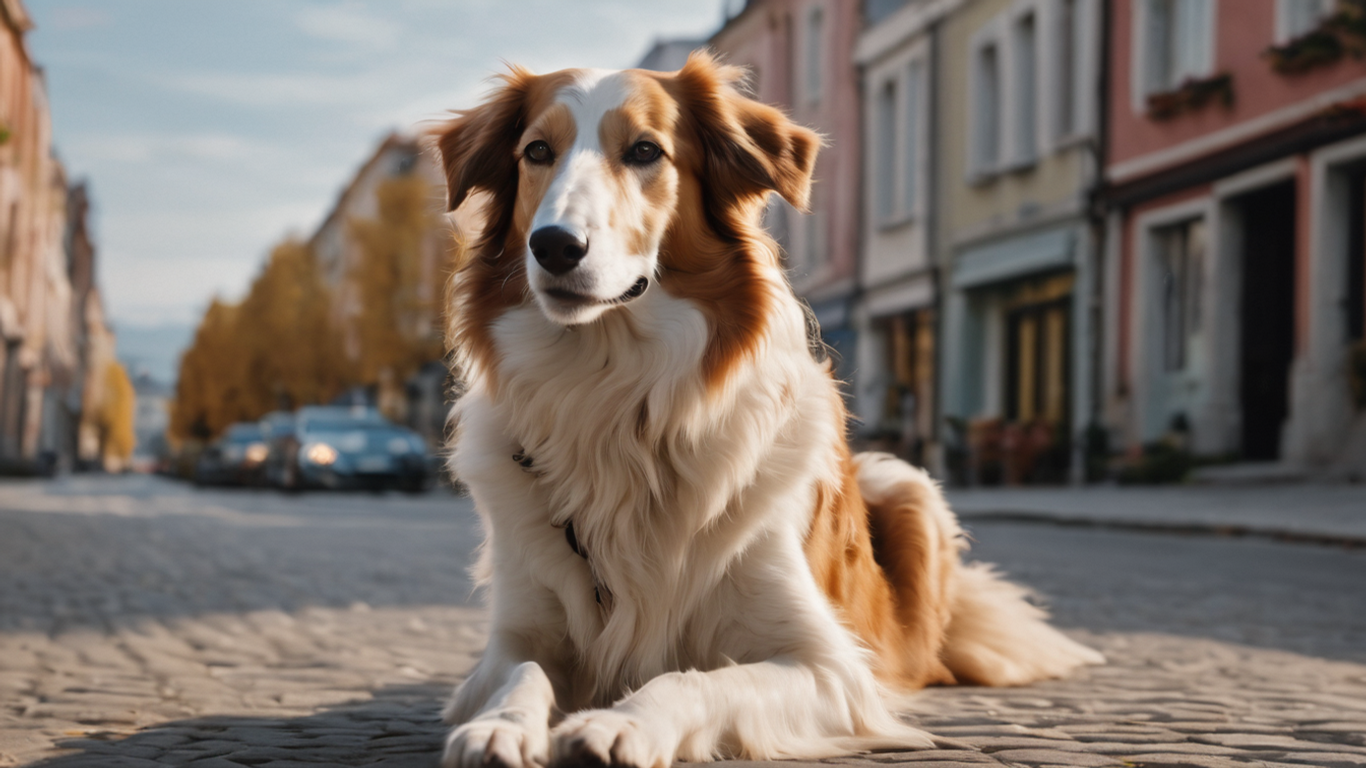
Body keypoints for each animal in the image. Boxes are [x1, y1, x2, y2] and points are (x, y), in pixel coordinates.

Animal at [431, 52, 1103, 765]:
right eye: (537, 151)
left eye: (645, 151)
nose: (554, 245)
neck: (613, 398)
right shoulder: (516, 636)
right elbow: (524, 672)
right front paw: (500, 726)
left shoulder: (829, 668)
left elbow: (692, 679)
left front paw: (621, 725)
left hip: (907, 484)